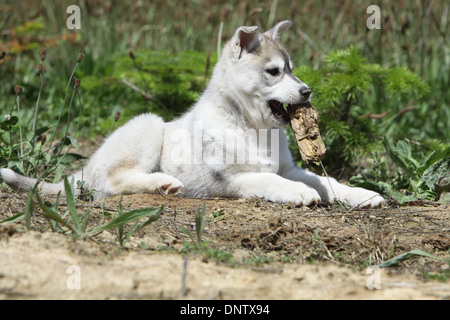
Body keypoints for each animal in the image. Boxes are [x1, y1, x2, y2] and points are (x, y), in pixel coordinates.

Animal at [1, 21, 384, 209]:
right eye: (274, 72)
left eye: (291, 70)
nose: (307, 91)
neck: (249, 126)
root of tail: (86, 167)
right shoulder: (231, 179)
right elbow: (272, 181)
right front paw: (299, 194)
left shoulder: (289, 168)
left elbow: (325, 181)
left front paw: (361, 194)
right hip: (148, 125)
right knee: (108, 185)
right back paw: (162, 183)